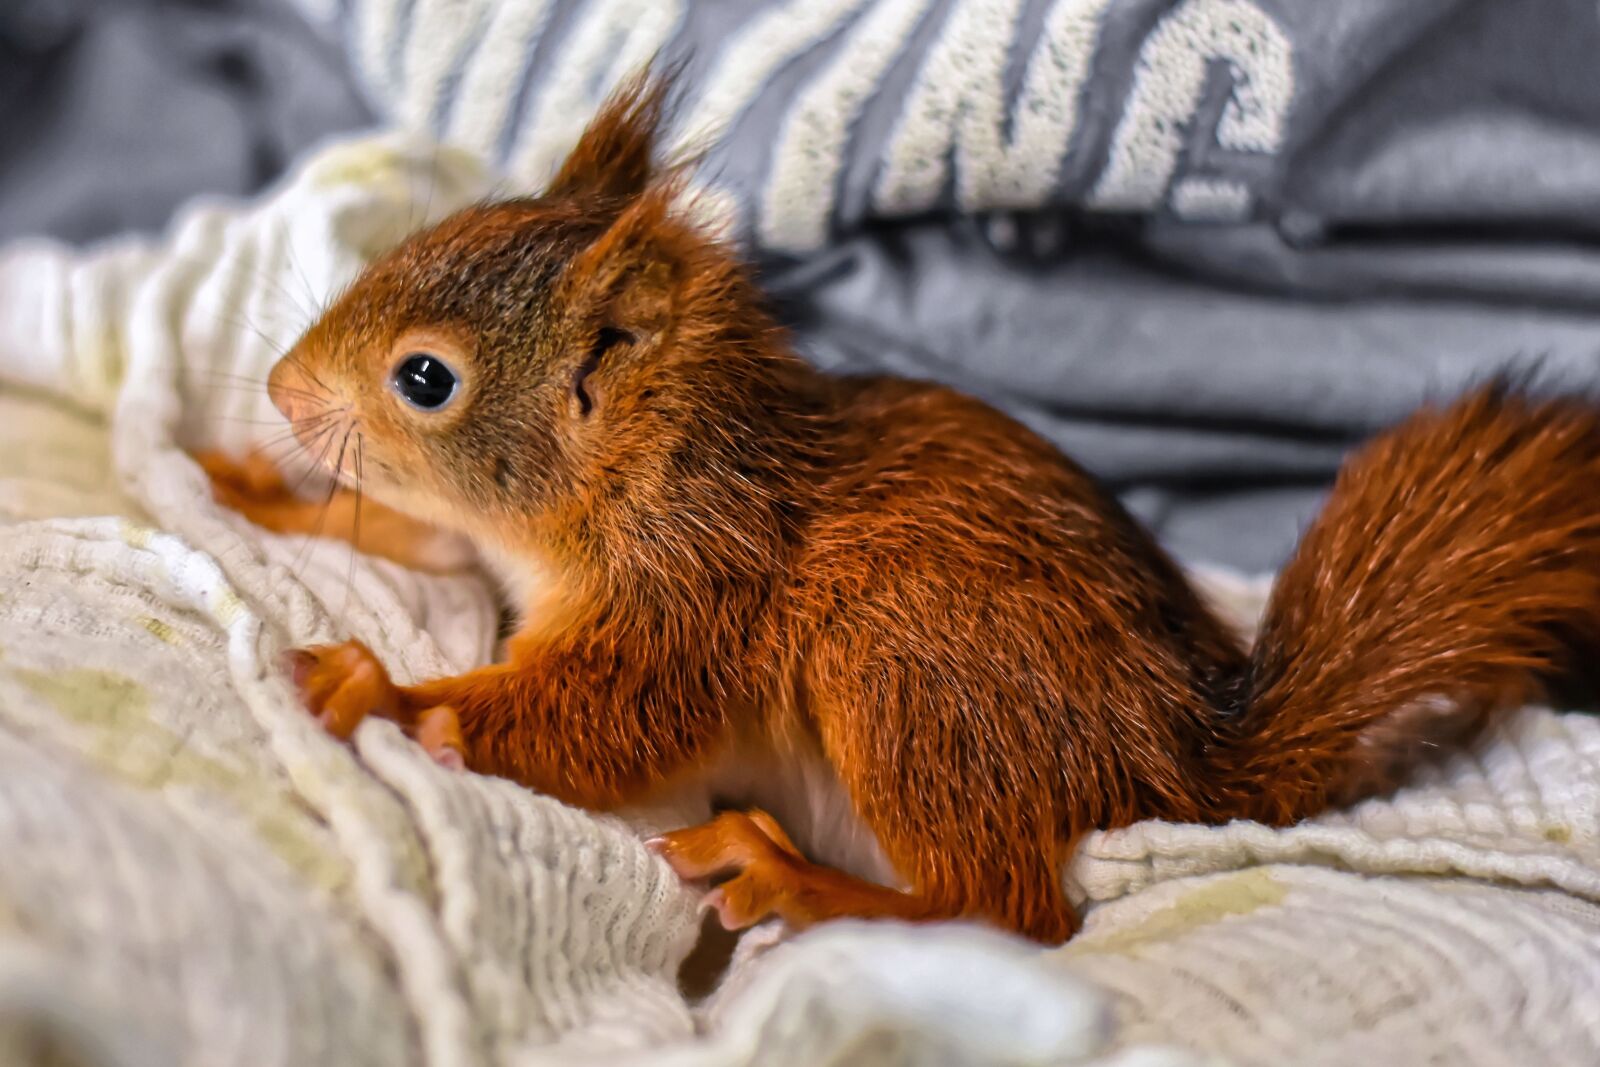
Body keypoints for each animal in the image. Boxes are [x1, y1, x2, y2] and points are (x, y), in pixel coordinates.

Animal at [196, 72, 1600, 946]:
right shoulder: (508, 553)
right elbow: (416, 532)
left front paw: (391, 693)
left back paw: (804, 881)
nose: (281, 386)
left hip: (902, 663)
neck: (643, 471)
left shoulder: (695, 586)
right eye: (420, 235)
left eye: (425, 378)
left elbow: (604, 715)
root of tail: (1179, 759)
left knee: (1008, 909)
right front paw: (255, 482)